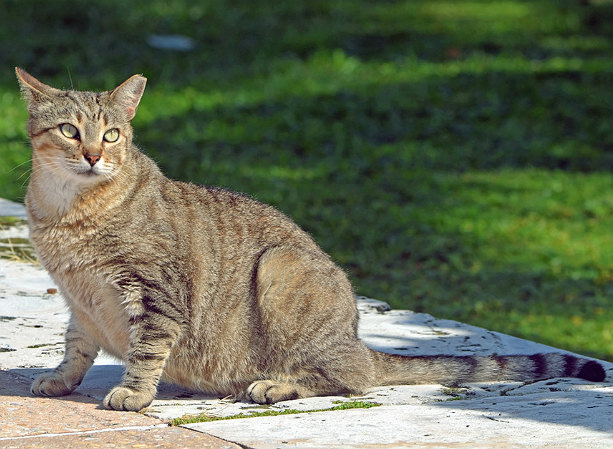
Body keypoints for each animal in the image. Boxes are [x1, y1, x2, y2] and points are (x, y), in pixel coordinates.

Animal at [16, 68, 604, 412]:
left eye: (112, 134)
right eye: (70, 130)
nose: (94, 154)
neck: (66, 212)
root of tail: (359, 342)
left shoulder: (156, 291)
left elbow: (146, 349)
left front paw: (134, 393)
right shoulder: (80, 301)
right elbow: (75, 347)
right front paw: (61, 381)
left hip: (282, 269)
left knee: (349, 379)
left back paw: (277, 384)